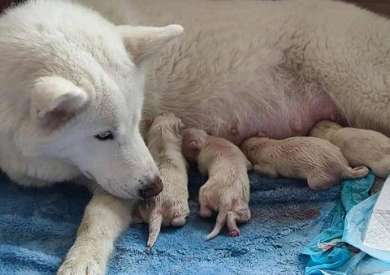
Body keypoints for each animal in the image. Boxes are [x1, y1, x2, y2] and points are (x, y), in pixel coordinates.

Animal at [136, 113, 190, 249]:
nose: (168, 112)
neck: (163, 142)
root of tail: (156, 210)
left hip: (143, 209)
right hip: (179, 208)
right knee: (177, 221)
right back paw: (184, 219)